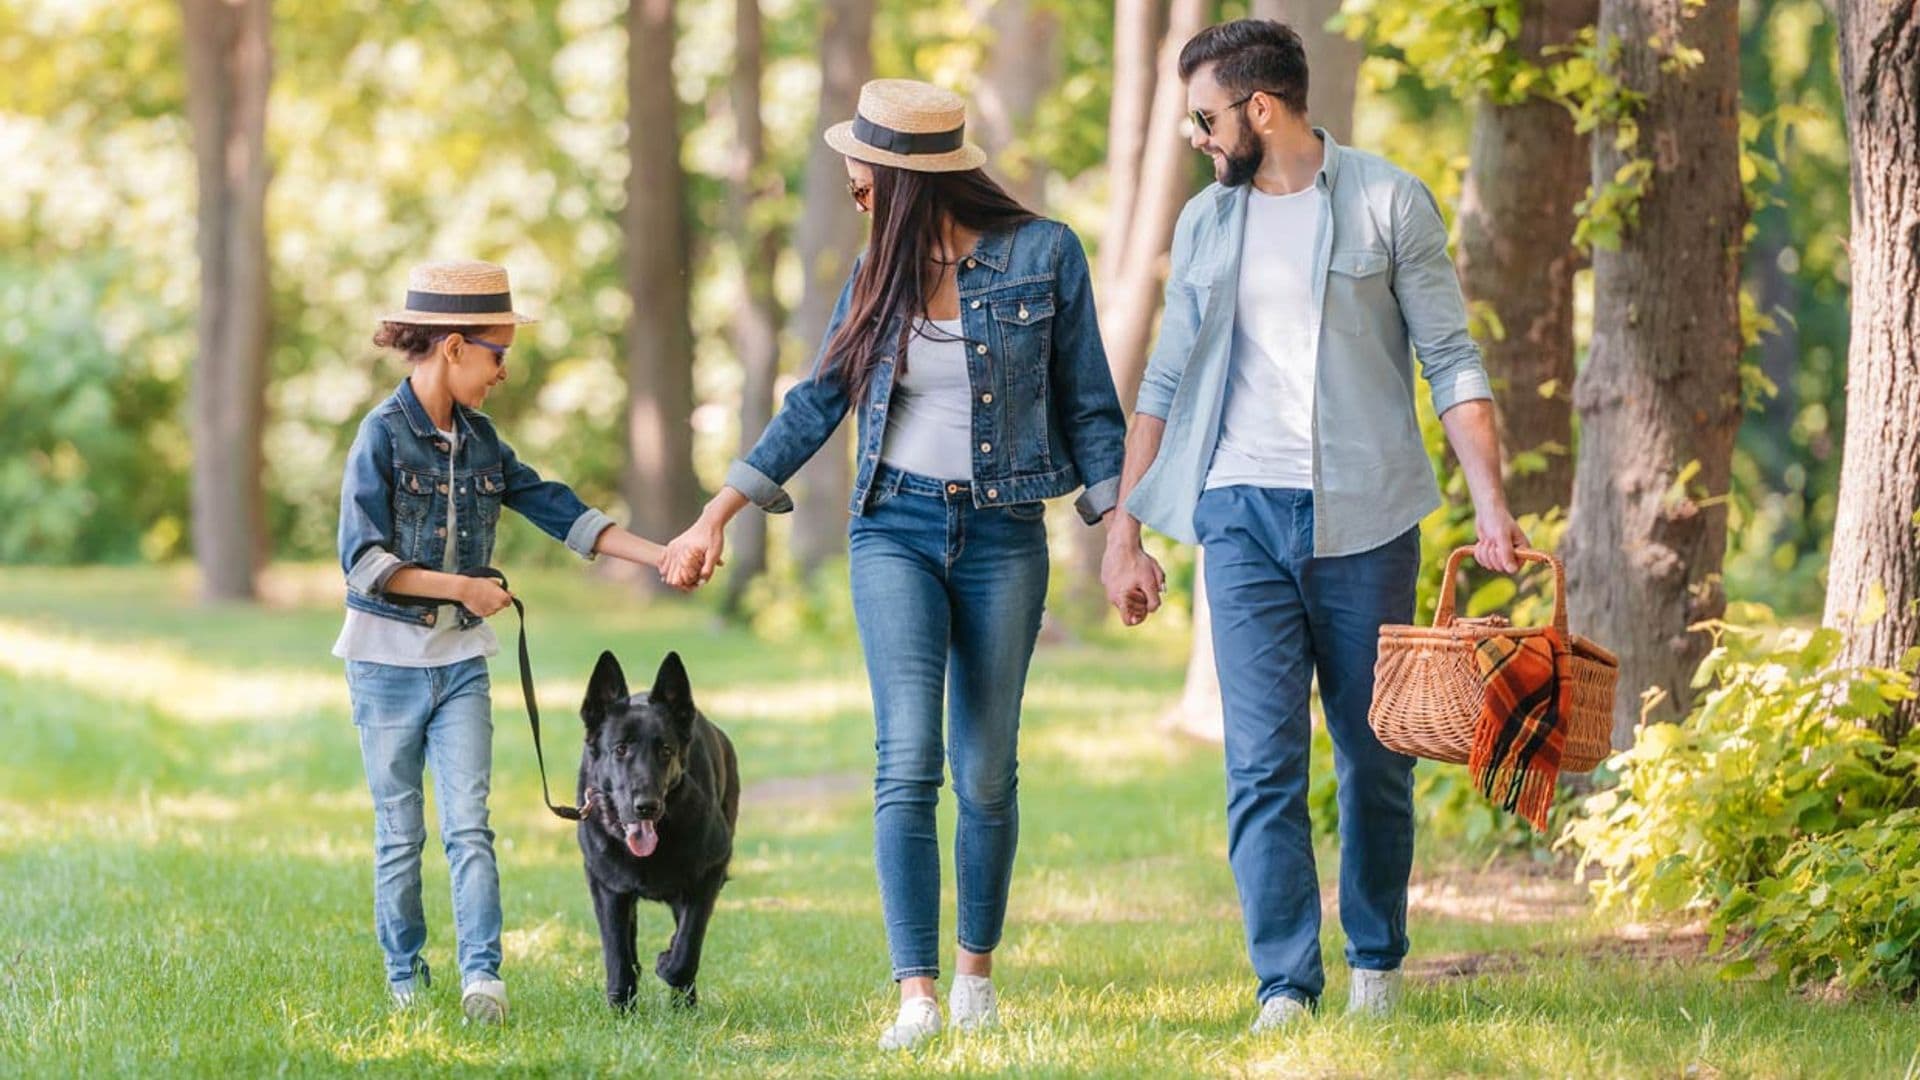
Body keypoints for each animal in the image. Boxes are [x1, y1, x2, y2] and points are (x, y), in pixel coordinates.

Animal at [572, 641, 737, 1006]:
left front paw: (668, 964)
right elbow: (617, 953)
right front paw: (621, 1007)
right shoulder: (606, 886)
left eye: (665, 750)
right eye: (620, 749)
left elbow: (687, 948)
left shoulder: (709, 873)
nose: (646, 807)